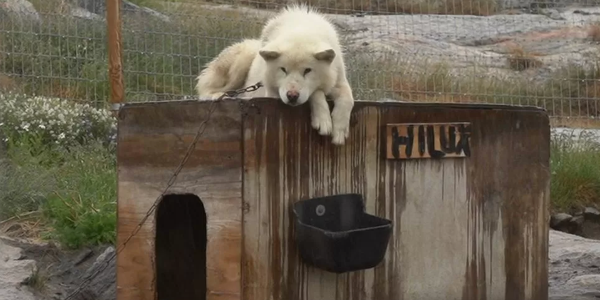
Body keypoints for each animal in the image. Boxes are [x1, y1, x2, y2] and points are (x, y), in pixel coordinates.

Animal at [197, 4, 354, 145]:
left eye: (307, 70)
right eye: (283, 69)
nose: (292, 96)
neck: (301, 29)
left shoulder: (339, 80)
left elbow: (348, 98)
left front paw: (340, 131)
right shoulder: (273, 94)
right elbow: (316, 92)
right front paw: (323, 120)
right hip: (241, 62)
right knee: (205, 89)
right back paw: (219, 96)